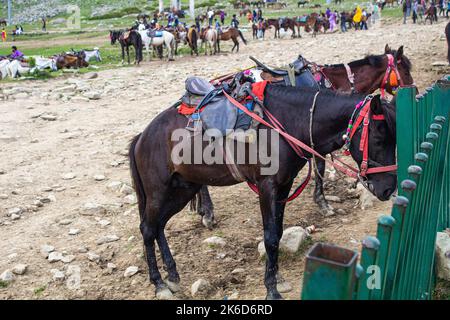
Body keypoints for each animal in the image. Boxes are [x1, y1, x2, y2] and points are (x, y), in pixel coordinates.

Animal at [129, 85, 398, 300]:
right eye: (378, 138)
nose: (388, 188)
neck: (287, 123)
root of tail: (142, 136)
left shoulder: (284, 185)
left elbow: (277, 234)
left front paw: (276, 277)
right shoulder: (267, 187)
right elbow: (269, 237)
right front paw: (272, 289)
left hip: (182, 190)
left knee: (159, 226)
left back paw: (173, 275)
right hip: (158, 192)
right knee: (148, 228)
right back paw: (159, 283)